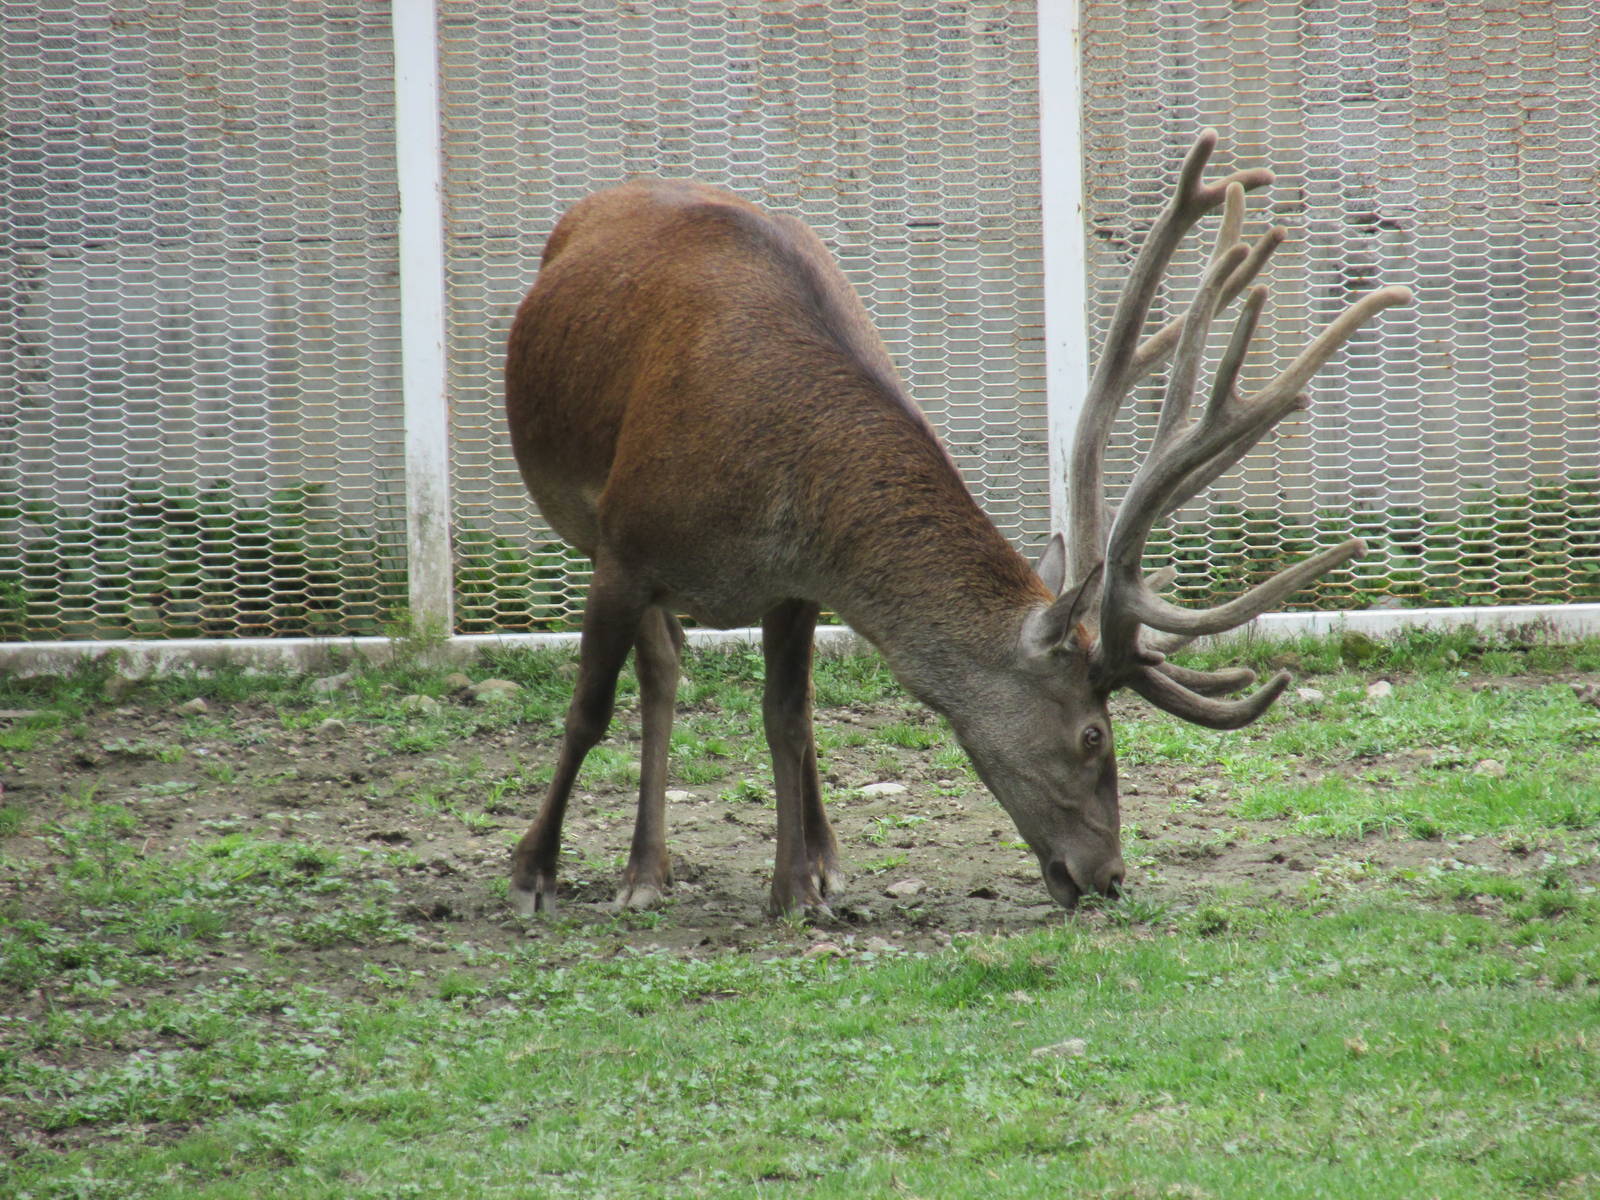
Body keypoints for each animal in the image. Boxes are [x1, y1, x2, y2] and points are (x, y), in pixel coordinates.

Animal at [504, 131, 1409, 918]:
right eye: (1093, 736)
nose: (1110, 876)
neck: (768, 475)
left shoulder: (794, 583)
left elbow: (787, 719)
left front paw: (795, 888)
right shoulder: (624, 548)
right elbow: (587, 711)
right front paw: (533, 872)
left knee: (698, 679)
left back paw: (758, 863)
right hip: (593, 527)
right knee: (657, 672)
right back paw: (641, 872)